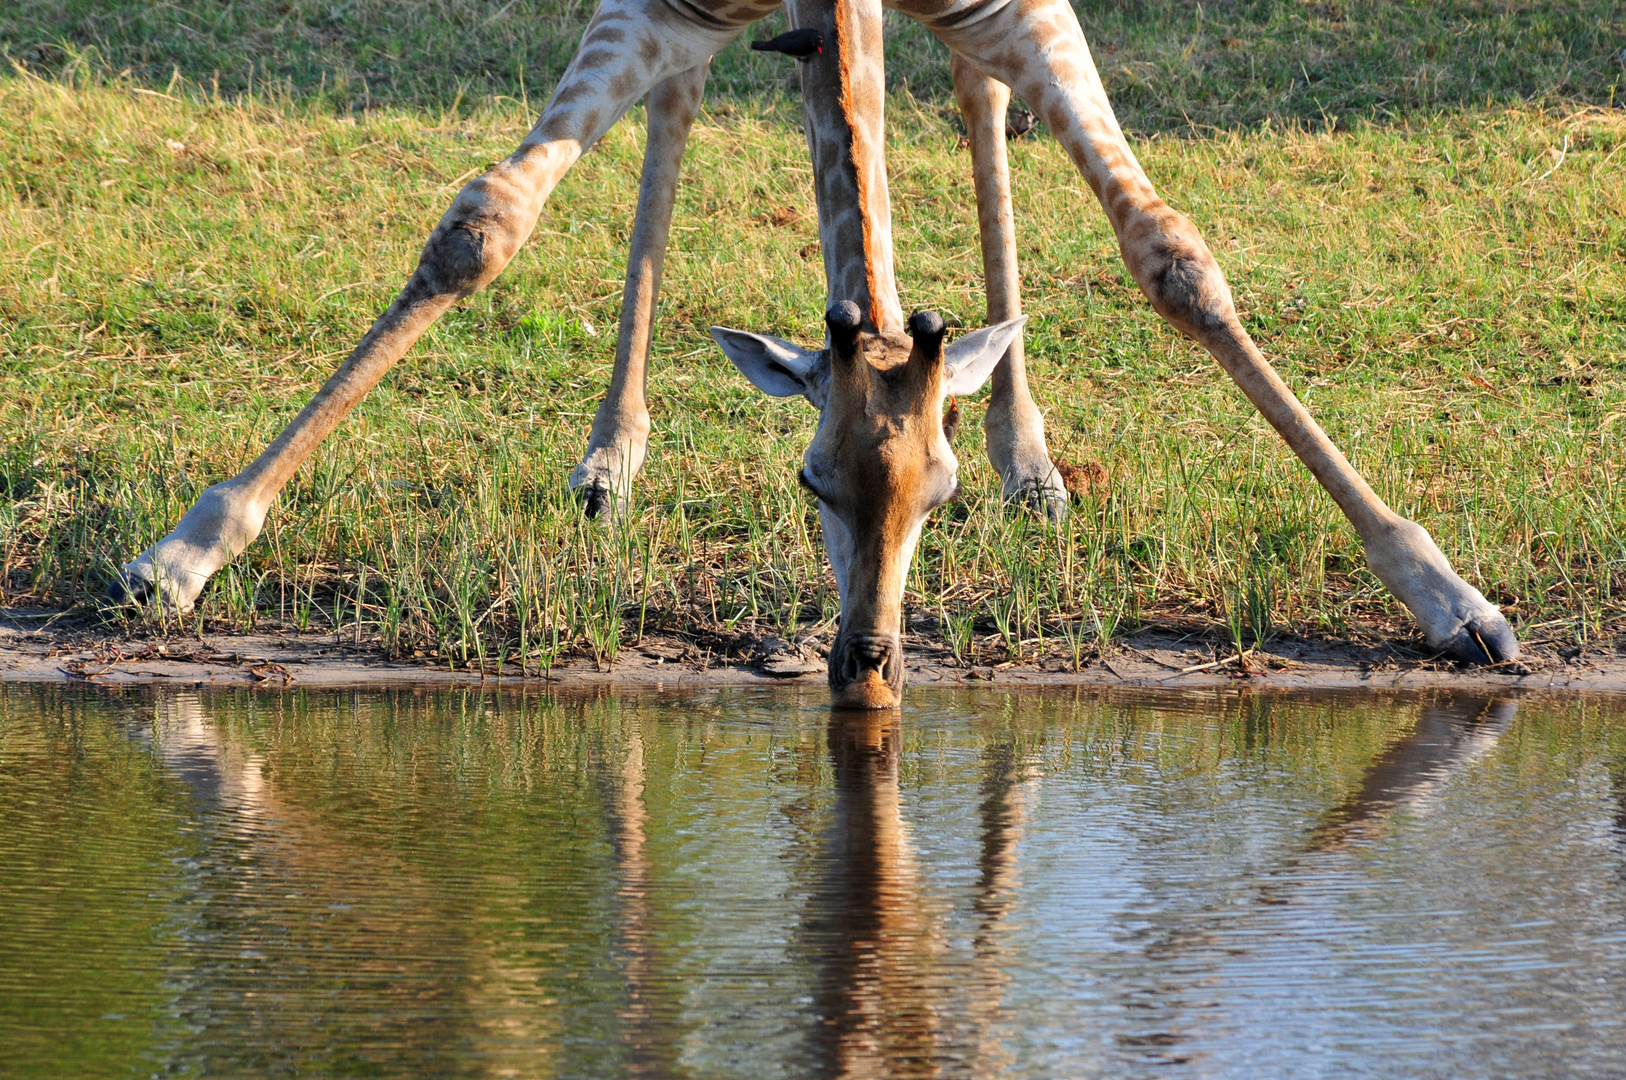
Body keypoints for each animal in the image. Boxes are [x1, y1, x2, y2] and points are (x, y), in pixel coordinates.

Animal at [108, 0, 1515, 709]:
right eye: (808, 483)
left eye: (937, 493)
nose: (868, 670)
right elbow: (479, 231)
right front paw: (184, 550)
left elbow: (1174, 257)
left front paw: (1451, 599)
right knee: (680, 102)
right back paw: (610, 457)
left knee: (972, 93)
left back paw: (1036, 460)